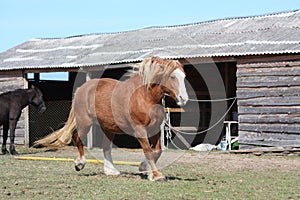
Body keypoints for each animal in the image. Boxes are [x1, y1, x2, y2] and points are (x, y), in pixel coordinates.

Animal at [35, 56, 188, 181]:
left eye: (184, 76)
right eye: (172, 77)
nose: (183, 99)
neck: (145, 97)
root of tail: (81, 89)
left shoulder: (155, 128)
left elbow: (157, 151)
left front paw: (145, 168)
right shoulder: (139, 129)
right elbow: (148, 151)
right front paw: (156, 175)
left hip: (108, 127)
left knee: (105, 147)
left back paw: (111, 171)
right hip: (85, 122)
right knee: (78, 137)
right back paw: (80, 163)